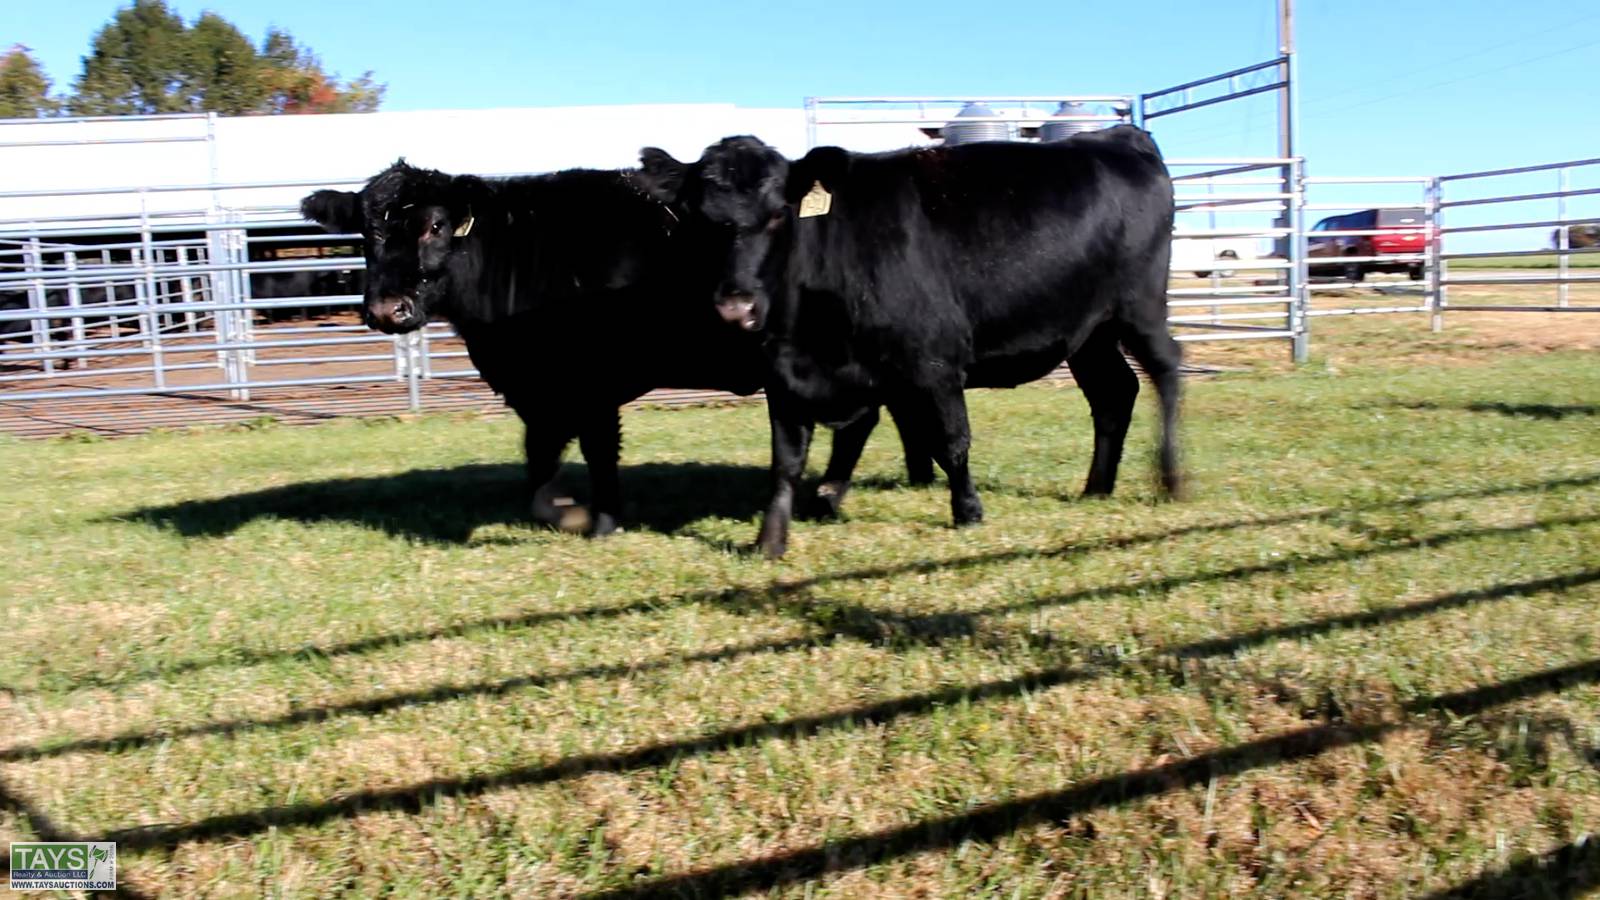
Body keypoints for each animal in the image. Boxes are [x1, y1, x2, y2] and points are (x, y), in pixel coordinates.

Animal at [301, 161, 930, 537]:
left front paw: (599, 520)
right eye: (364, 231)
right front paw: (560, 510)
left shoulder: (593, 385)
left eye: (434, 226)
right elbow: (539, 460)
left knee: (867, 417)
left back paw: (832, 493)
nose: (387, 308)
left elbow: (599, 452)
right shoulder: (540, 392)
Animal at [633, 126, 1183, 558]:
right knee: (1113, 394)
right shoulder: (786, 374)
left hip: (1139, 308)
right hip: (1090, 333)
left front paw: (967, 512)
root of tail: (1118, 137)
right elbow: (789, 461)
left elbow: (950, 441)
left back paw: (1172, 479)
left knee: (1165, 372)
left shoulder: (933, 362)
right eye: (701, 219)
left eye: (776, 214)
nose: (737, 305)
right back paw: (1097, 488)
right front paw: (773, 538)